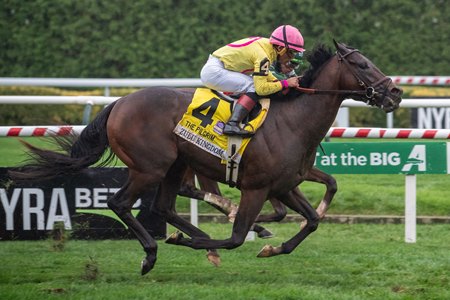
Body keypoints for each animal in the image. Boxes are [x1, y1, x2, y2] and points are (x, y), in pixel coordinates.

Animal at [12, 41, 402, 276]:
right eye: (363, 64)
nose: (396, 92)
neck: (293, 121)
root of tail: (119, 103)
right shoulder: (256, 188)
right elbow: (235, 236)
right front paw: (208, 240)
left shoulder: (285, 185)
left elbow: (312, 221)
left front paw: (271, 247)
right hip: (150, 167)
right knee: (120, 202)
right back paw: (153, 251)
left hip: (175, 165)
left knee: (163, 207)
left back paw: (192, 241)